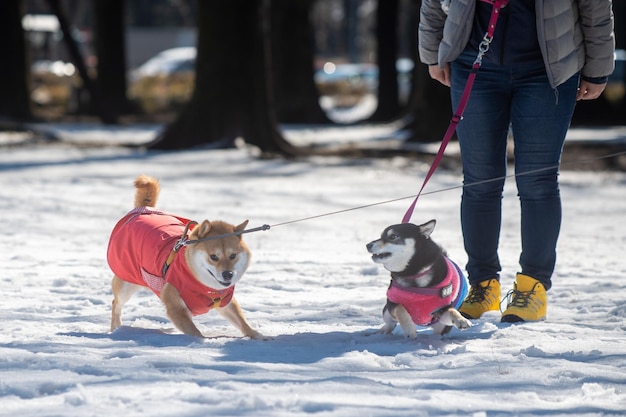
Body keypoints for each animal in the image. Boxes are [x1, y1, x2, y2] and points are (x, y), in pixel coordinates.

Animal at [107, 174, 264, 340]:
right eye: (213, 256)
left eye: (233, 255)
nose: (228, 274)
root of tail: (145, 209)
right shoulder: (176, 308)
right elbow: (195, 333)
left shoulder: (226, 302)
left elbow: (241, 320)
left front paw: (258, 335)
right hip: (126, 282)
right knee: (116, 303)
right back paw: (116, 328)